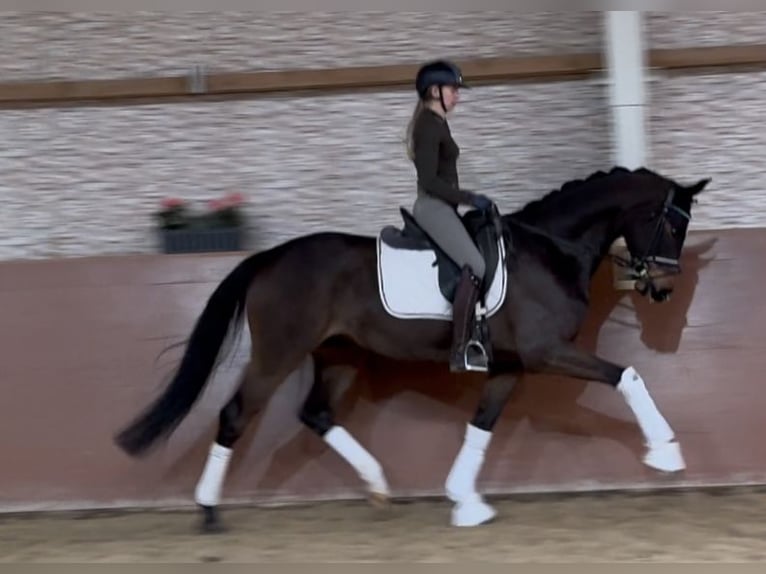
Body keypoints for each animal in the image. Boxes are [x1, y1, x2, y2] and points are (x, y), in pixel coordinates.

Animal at [114, 165, 712, 532]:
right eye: (670, 224)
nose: (662, 288)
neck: (552, 249)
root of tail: (270, 257)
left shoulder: (509, 366)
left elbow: (482, 425)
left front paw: (465, 502)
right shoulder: (546, 353)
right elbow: (628, 374)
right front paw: (666, 453)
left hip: (338, 355)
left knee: (316, 413)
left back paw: (378, 486)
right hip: (277, 354)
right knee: (235, 414)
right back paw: (210, 512)